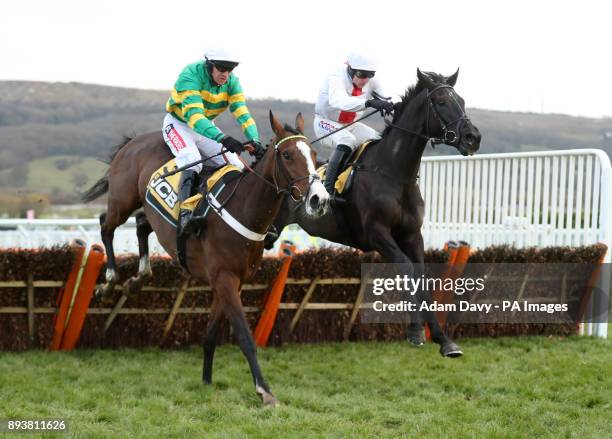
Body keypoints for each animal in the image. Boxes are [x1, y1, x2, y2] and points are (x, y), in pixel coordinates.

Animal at [85, 112, 330, 406]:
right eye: (287, 155)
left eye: (314, 154)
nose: (319, 199)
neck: (243, 209)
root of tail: (133, 141)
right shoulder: (224, 279)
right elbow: (244, 336)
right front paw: (265, 390)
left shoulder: (232, 282)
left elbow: (212, 335)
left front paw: (206, 380)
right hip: (122, 200)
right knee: (105, 225)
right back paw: (109, 281)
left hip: (146, 210)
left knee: (142, 224)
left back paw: (138, 277)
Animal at [266, 69, 480, 358]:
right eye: (442, 102)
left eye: (462, 101)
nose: (472, 137)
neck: (394, 173)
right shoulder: (376, 234)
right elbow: (406, 268)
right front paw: (415, 331)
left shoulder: (412, 235)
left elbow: (421, 275)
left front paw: (443, 339)